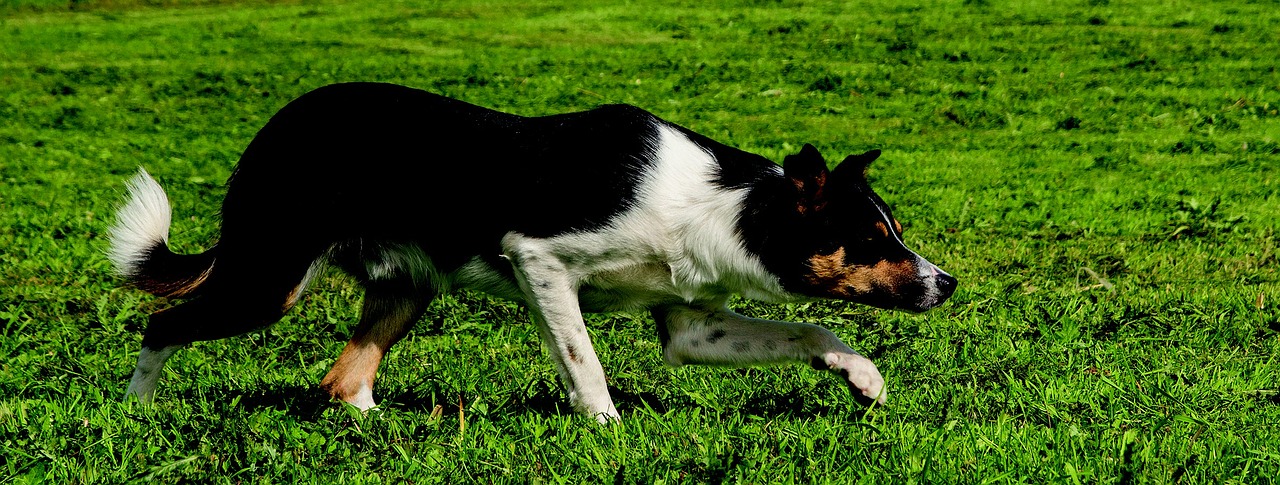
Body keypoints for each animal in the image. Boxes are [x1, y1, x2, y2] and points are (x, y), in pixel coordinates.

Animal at [107, 82, 952, 422]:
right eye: (871, 240)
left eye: (893, 232)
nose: (945, 284)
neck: (726, 203)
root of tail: (273, 131)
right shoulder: (539, 261)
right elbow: (586, 363)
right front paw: (607, 429)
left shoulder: (692, 327)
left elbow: (811, 328)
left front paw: (864, 377)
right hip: (268, 278)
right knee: (161, 324)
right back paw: (137, 408)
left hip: (407, 286)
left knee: (343, 379)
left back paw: (384, 426)